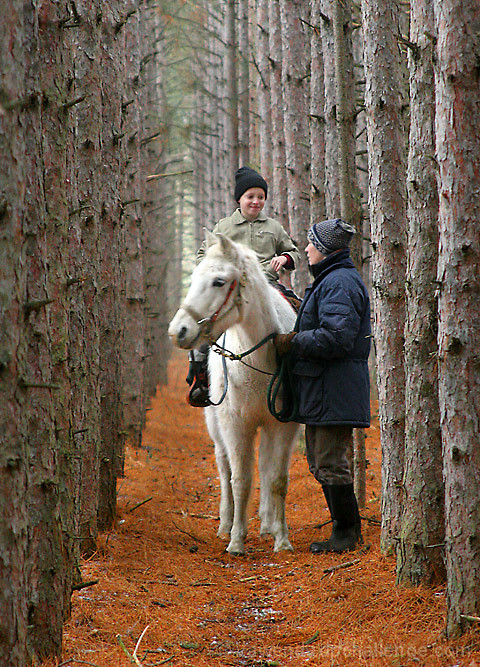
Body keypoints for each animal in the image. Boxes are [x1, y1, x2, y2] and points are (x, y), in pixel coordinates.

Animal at [167, 232, 298, 556]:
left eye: (218, 281)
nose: (178, 331)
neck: (257, 359)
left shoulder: (283, 426)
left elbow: (276, 479)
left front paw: (282, 538)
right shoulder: (235, 426)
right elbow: (240, 480)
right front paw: (237, 540)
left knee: (264, 467)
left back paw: (266, 524)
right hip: (217, 428)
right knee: (225, 470)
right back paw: (226, 524)